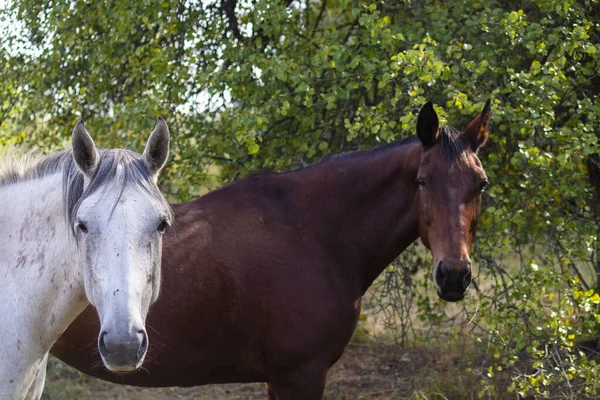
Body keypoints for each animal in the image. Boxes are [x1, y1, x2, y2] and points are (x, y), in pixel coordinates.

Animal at [51, 101, 492, 398]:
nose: (454, 275)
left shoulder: (280, 378)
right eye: (422, 181)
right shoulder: (301, 374)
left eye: (481, 184)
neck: (315, 229)